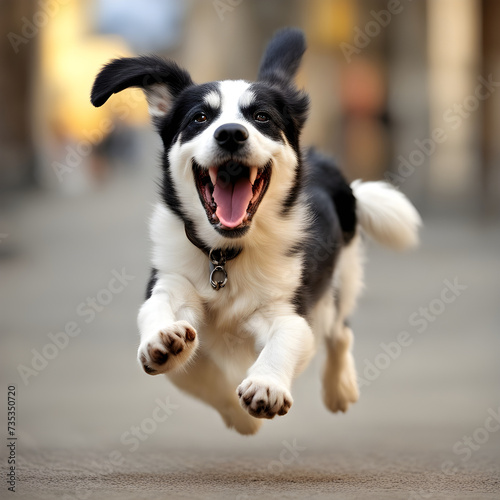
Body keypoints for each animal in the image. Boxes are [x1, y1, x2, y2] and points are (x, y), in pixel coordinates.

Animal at [91, 28, 422, 434]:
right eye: (200, 117)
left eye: (261, 117)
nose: (231, 134)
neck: (225, 254)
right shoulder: (172, 279)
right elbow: (184, 353)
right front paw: (166, 342)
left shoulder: (291, 310)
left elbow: (288, 337)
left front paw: (266, 384)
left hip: (339, 277)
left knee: (339, 331)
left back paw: (339, 387)